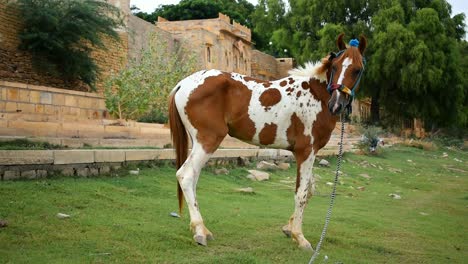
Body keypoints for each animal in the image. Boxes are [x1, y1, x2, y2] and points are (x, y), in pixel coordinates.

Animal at [168, 33, 366, 250]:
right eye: (336, 66)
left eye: (357, 69)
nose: (336, 104)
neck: (316, 94)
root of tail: (183, 83)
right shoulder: (306, 151)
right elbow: (301, 193)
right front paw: (299, 236)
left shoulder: (309, 153)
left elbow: (310, 189)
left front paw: (288, 228)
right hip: (208, 140)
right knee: (186, 175)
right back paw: (200, 231)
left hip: (198, 143)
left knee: (193, 178)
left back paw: (200, 228)